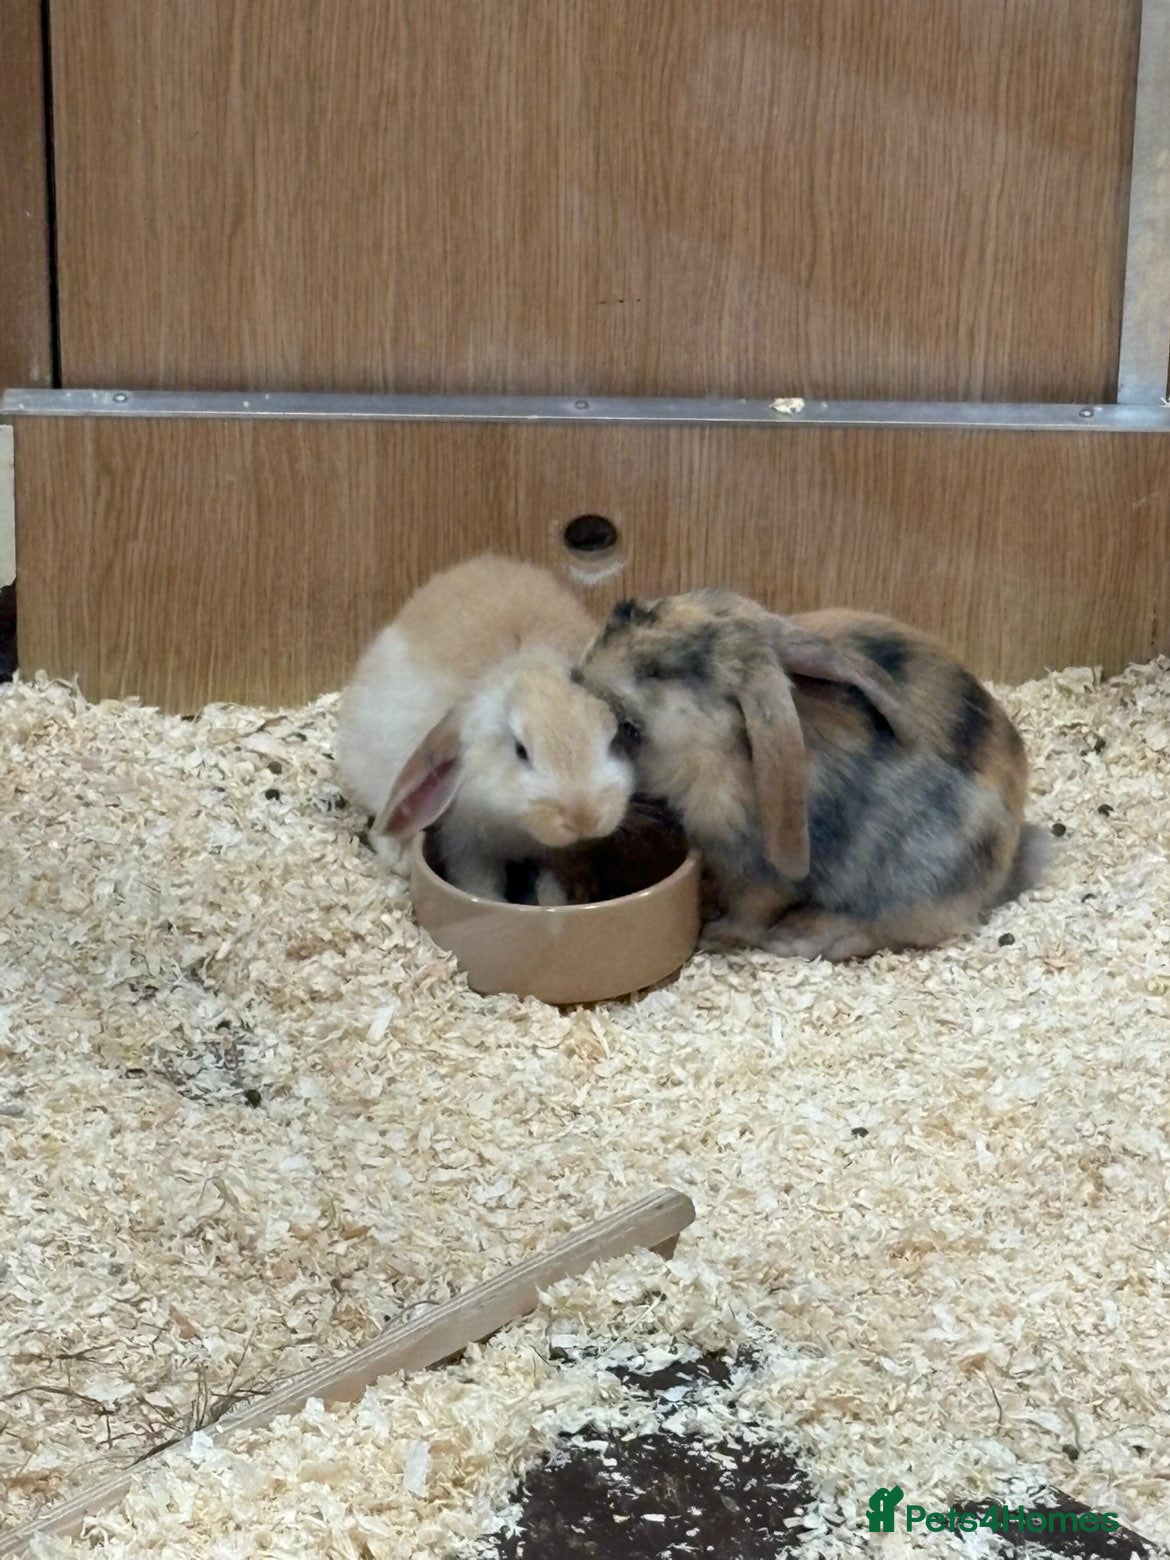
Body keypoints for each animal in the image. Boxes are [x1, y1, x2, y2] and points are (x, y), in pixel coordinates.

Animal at [336, 554, 636, 901]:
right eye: (520, 750)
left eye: (614, 739)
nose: (584, 818)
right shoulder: (466, 844)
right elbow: (480, 885)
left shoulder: (555, 859)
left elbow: (553, 891)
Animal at [576, 591, 1046, 961]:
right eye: (627, 613)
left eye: (657, 671)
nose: (580, 675)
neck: (721, 743)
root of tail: (1006, 866)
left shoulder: (754, 868)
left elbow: (752, 910)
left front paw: (717, 936)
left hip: (917, 877)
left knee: (905, 926)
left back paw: (801, 937)